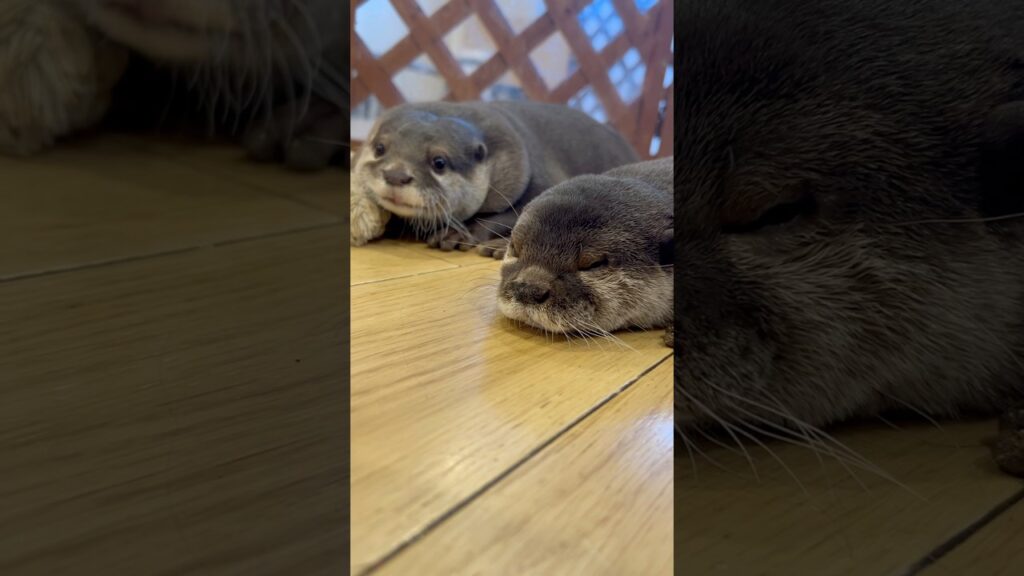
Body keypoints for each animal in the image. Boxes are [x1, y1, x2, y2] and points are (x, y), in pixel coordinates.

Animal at [349, 100, 640, 257]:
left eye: (438, 162)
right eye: (380, 148)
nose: (396, 175)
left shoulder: (531, 172)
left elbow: (514, 213)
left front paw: (459, 233)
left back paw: (499, 248)